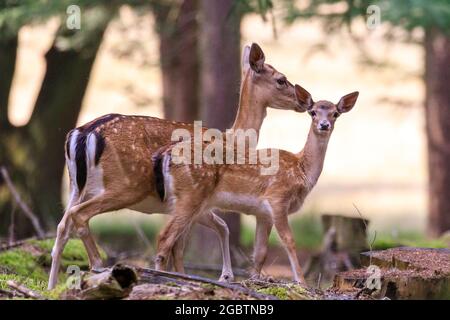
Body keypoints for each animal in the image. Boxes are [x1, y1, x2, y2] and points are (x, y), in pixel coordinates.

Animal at [48, 43, 306, 290]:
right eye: (281, 79)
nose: (304, 101)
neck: (234, 140)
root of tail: (83, 134)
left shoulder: (193, 205)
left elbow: (215, 230)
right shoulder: (194, 199)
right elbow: (185, 244)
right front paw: (202, 277)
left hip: (76, 187)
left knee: (62, 227)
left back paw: (53, 285)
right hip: (126, 185)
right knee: (80, 215)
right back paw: (98, 265)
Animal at [153, 84, 356, 282]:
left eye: (335, 113)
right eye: (312, 112)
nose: (324, 125)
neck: (301, 171)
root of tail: (167, 152)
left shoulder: (263, 213)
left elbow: (260, 252)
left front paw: (254, 279)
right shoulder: (277, 198)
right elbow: (289, 240)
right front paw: (301, 282)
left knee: (176, 244)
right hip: (191, 194)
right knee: (164, 237)